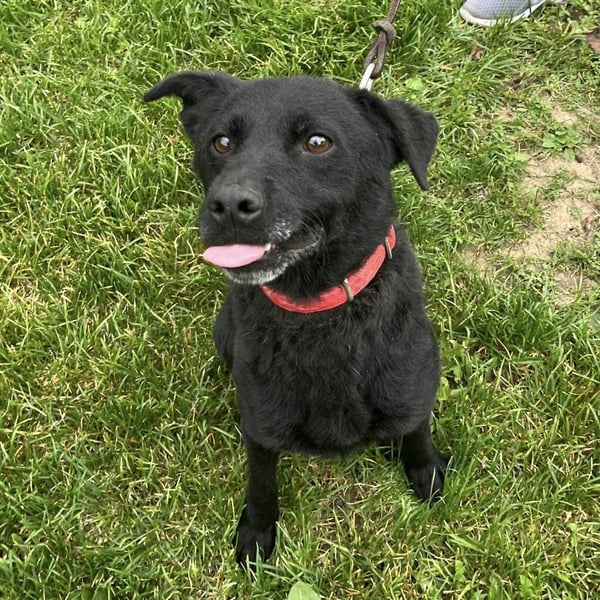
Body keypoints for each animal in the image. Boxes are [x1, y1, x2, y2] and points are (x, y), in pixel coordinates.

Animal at [144, 72, 448, 569]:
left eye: (318, 142)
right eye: (221, 142)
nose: (229, 205)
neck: (320, 312)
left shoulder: (412, 391)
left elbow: (417, 434)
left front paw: (425, 475)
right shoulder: (261, 429)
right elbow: (262, 484)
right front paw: (257, 533)